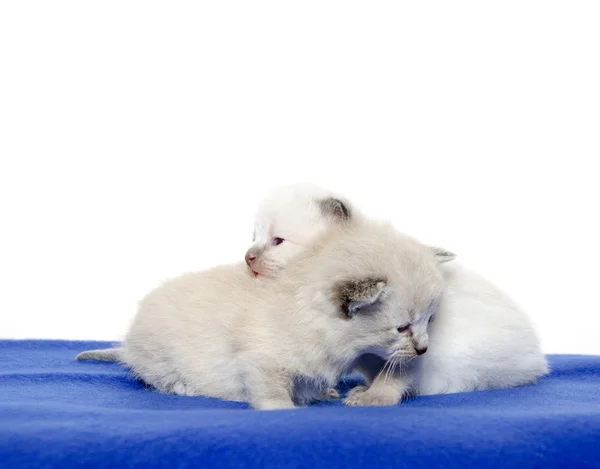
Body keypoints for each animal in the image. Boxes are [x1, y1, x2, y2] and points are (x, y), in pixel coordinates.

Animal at [79, 218, 450, 408]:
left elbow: (391, 374)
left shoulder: (368, 353)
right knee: (152, 376)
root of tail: (129, 343)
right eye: (402, 327)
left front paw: (370, 395)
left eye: (429, 320)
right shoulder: (260, 358)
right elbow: (271, 390)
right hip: (156, 357)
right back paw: (182, 387)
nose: (424, 349)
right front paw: (282, 408)